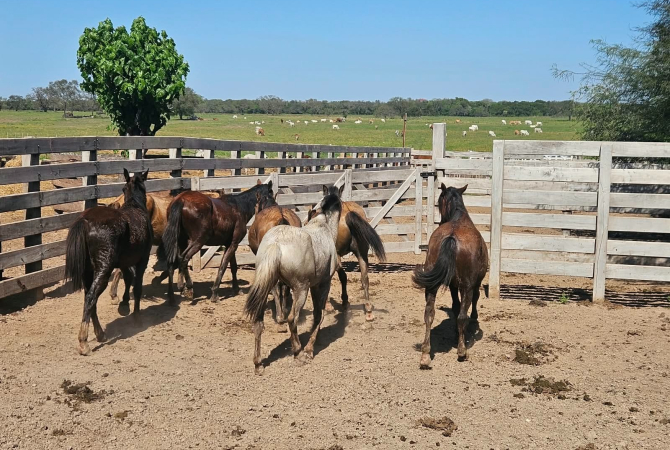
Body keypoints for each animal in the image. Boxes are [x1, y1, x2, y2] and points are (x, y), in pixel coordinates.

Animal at [65, 169, 153, 356]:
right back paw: (84, 342)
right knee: (91, 297)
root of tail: (86, 221)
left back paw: (100, 334)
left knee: (89, 299)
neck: (135, 206)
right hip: (103, 270)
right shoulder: (142, 260)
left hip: (88, 271)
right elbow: (137, 286)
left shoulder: (126, 262)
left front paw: (124, 305)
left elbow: (127, 279)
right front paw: (136, 317)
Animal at [247, 192, 302, 325]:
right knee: (286, 285)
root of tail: (281, 218)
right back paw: (284, 310)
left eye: (255, 206)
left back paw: (279, 315)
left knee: (275, 285)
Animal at [413, 184, 488, 368]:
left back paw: (425, 355)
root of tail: (452, 237)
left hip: (432, 286)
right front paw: (472, 320)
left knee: (429, 314)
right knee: (462, 316)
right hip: (467, 286)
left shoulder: (453, 285)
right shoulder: (472, 284)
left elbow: (454, 306)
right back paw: (462, 351)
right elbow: (470, 302)